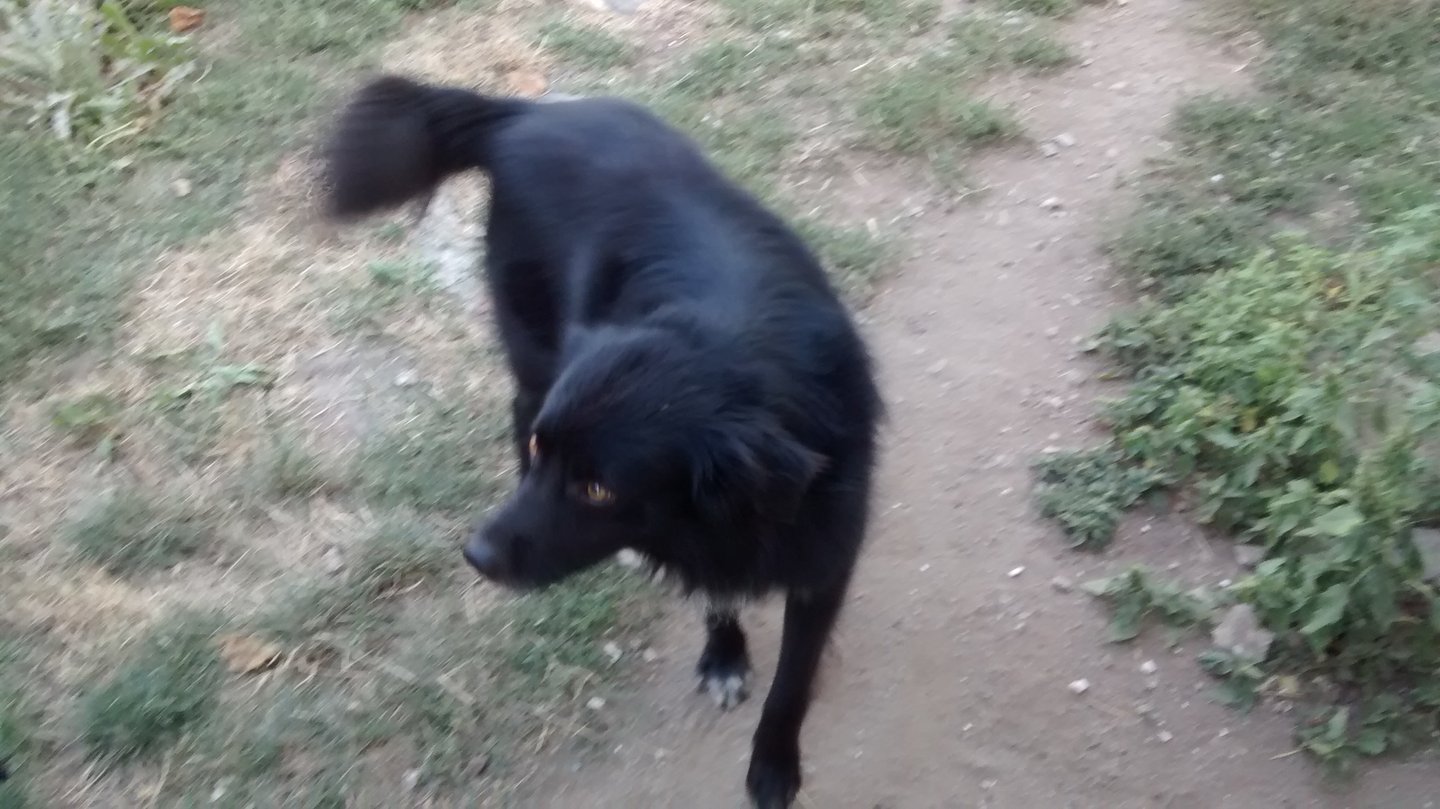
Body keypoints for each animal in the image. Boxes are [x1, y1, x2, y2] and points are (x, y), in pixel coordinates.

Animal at [322, 75, 882, 809]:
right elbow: (716, 594)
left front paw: (772, 765)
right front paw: (724, 656)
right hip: (534, 343)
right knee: (520, 399)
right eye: (545, 455)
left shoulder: (824, 558)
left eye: (596, 489)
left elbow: (791, 677)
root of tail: (524, 117)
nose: (476, 556)